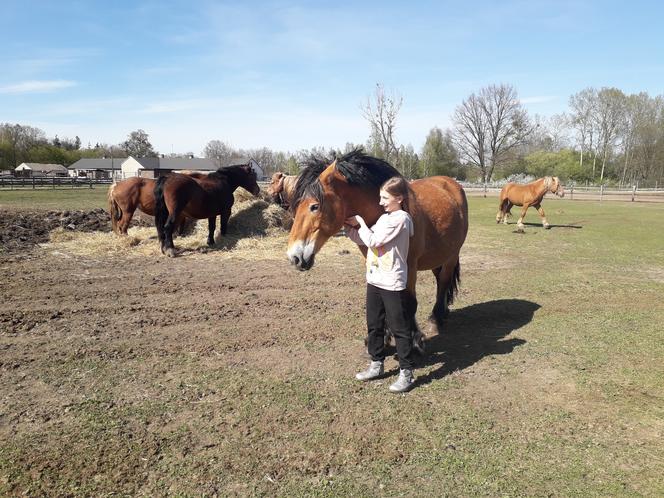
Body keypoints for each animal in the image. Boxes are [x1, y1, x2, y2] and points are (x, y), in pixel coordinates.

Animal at [286, 149, 466, 342]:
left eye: (314, 206)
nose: (294, 257)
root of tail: (450, 182)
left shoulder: (409, 266)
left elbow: (409, 302)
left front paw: (414, 340)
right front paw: (385, 337)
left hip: (451, 255)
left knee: (444, 281)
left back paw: (436, 319)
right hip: (438, 255)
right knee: (441, 281)